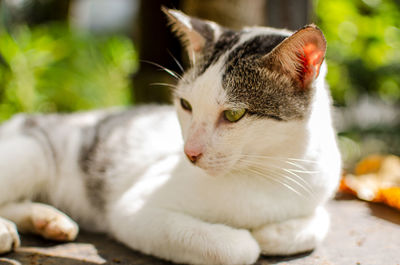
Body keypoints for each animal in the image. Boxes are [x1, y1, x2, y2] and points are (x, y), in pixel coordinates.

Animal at [0, 8, 340, 264]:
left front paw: (272, 233)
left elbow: (318, 222)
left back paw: (48, 220)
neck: (271, 171)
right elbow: (237, 249)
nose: (190, 153)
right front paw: (248, 238)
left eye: (233, 114)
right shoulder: (134, 209)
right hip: (31, 154)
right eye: (186, 105)